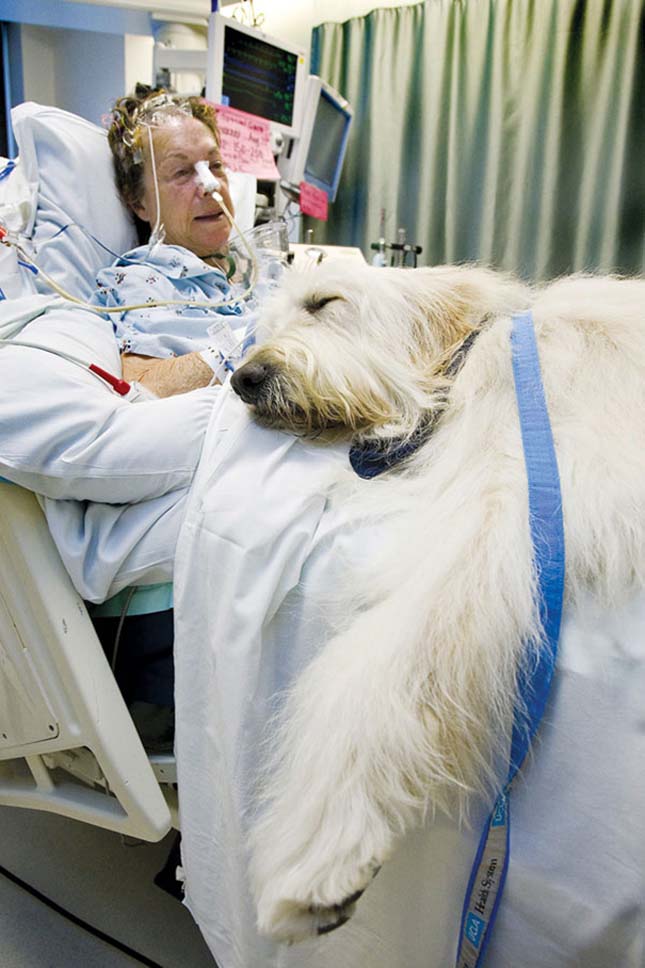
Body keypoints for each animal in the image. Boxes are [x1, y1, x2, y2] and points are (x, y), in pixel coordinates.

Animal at [229, 262, 640, 944]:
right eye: (264, 327)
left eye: (324, 302)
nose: (243, 379)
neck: (471, 360)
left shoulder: (501, 511)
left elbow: (375, 667)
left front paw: (320, 847)